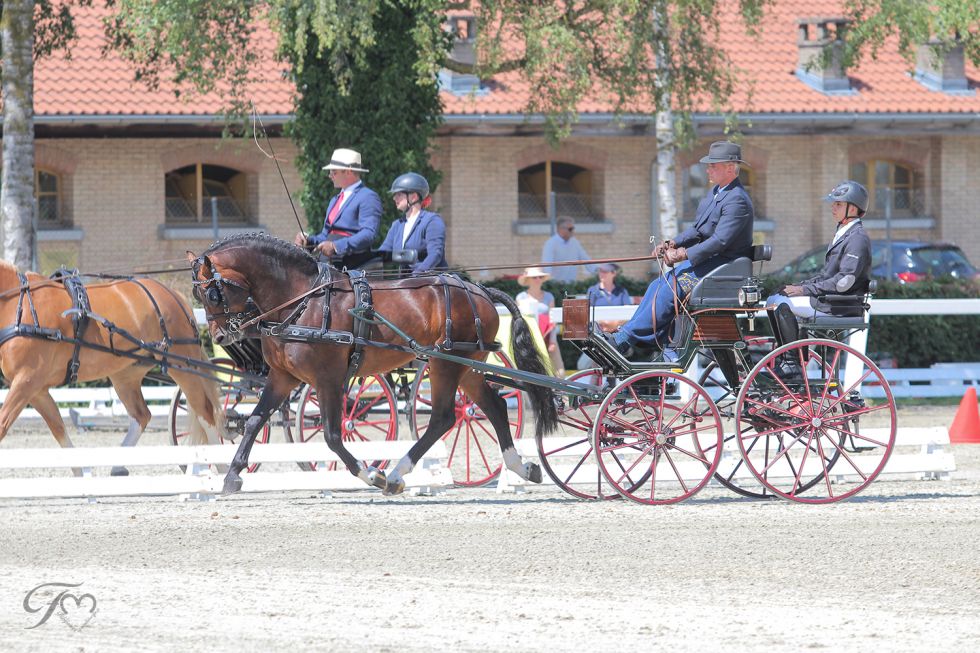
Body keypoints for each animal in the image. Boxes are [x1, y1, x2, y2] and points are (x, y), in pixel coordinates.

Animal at [0, 260, 228, 473]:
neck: (17, 307)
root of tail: (174, 295)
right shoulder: (36, 389)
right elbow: (58, 429)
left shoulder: (27, 380)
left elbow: (3, 424)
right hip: (125, 375)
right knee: (142, 415)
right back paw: (118, 467)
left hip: (181, 365)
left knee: (205, 412)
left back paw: (223, 469)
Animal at [187, 232, 558, 495]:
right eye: (198, 295)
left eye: (213, 293)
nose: (220, 336)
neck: (303, 301)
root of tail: (478, 289)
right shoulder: (283, 377)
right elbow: (254, 421)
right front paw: (233, 476)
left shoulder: (328, 378)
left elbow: (333, 435)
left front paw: (372, 474)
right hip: (465, 366)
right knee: (492, 407)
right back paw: (522, 468)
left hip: (446, 364)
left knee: (444, 417)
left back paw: (394, 475)